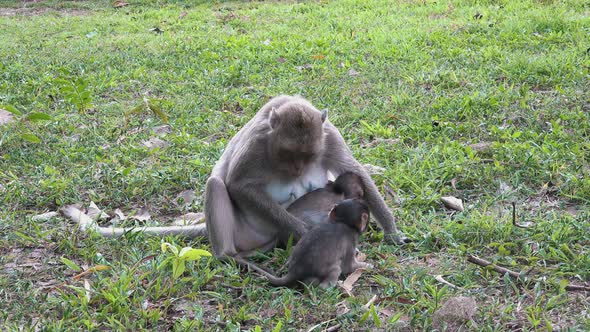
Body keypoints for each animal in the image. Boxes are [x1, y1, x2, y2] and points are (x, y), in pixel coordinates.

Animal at [206, 94, 410, 258]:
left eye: (308, 155)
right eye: (287, 153)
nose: (297, 169)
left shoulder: (330, 136)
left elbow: (355, 171)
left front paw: (391, 232)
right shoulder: (256, 143)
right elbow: (239, 185)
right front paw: (303, 232)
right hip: (243, 233)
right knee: (215, 184)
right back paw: (227, 256)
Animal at [237, 198, 372, 290]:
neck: (342, 222)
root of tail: (295, 271)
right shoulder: (350, 240)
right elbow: (349, 266)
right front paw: (366, 265)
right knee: (335, 270)